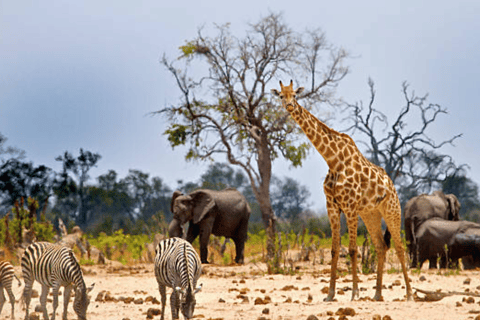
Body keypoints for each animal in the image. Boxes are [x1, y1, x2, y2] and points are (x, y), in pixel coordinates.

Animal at [272, 80, 414, 302]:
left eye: (295, 95)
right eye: (281, 95)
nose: (289, 106)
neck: (332, 160)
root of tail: (391, 185)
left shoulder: (350, 206)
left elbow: (354, 250)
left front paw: (355, 293)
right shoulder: (332, 206)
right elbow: (334, 249)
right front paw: (330, 294)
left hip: (392, 209)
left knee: (399, 247)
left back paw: (408, 294)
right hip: (371, 214)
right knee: (381, 246)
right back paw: (377, 294)